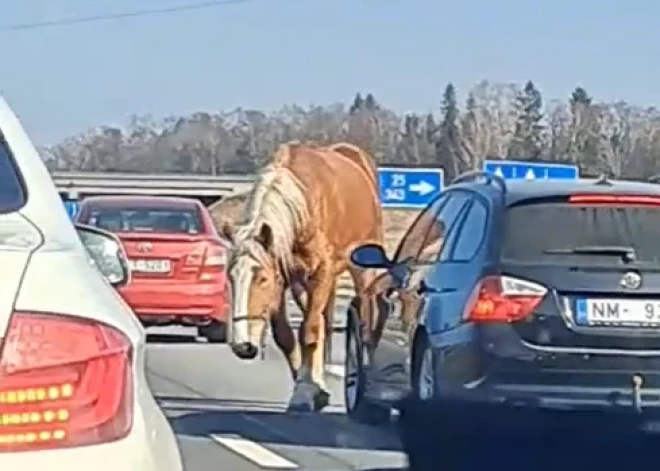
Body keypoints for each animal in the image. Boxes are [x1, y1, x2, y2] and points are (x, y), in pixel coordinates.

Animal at [222, 141, 384, 412]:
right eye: (230, 278)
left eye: (262, 279)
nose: (242, 346)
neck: (303, 205)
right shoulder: (284, 274)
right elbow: (287, 336)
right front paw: (308, 383)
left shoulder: (320, 273)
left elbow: (309, 330)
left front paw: (305, 389)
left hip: (363, 265)